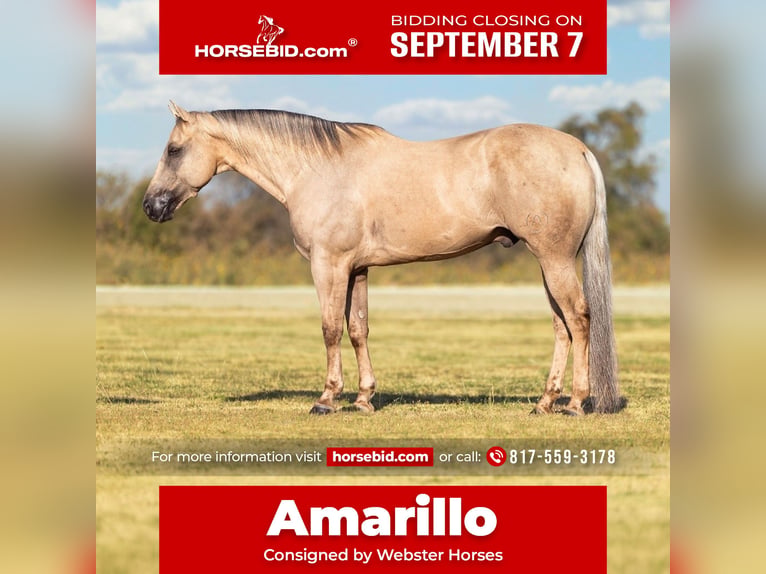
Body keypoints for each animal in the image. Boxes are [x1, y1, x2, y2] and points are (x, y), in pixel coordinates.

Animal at [143, 101, 620, 416]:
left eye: (173, 150)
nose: (151, 206)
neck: (317, 170)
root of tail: (577, 149)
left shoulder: (329, 265)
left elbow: (330, 329)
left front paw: (327, 399)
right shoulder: (357, 269)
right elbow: (358, 329)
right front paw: (363, 398)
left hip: (555, 259)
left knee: (579, 318)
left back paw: (576, 403)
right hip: (548, 261)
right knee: (561, 326)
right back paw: (544, 402)